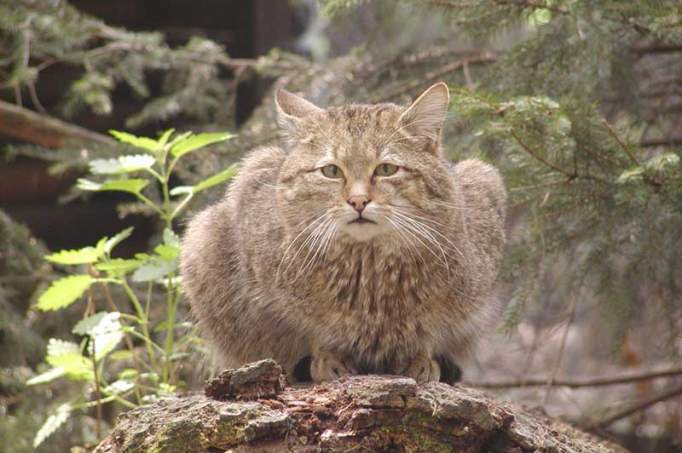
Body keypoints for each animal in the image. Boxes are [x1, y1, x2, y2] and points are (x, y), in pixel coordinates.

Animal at [181, 82, 504, 382]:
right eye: (332, 171)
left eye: (386, 169)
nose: (358, 201)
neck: (368, 269)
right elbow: (307, 328)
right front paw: (327, 358)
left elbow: (430, 330)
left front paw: (420, 358)